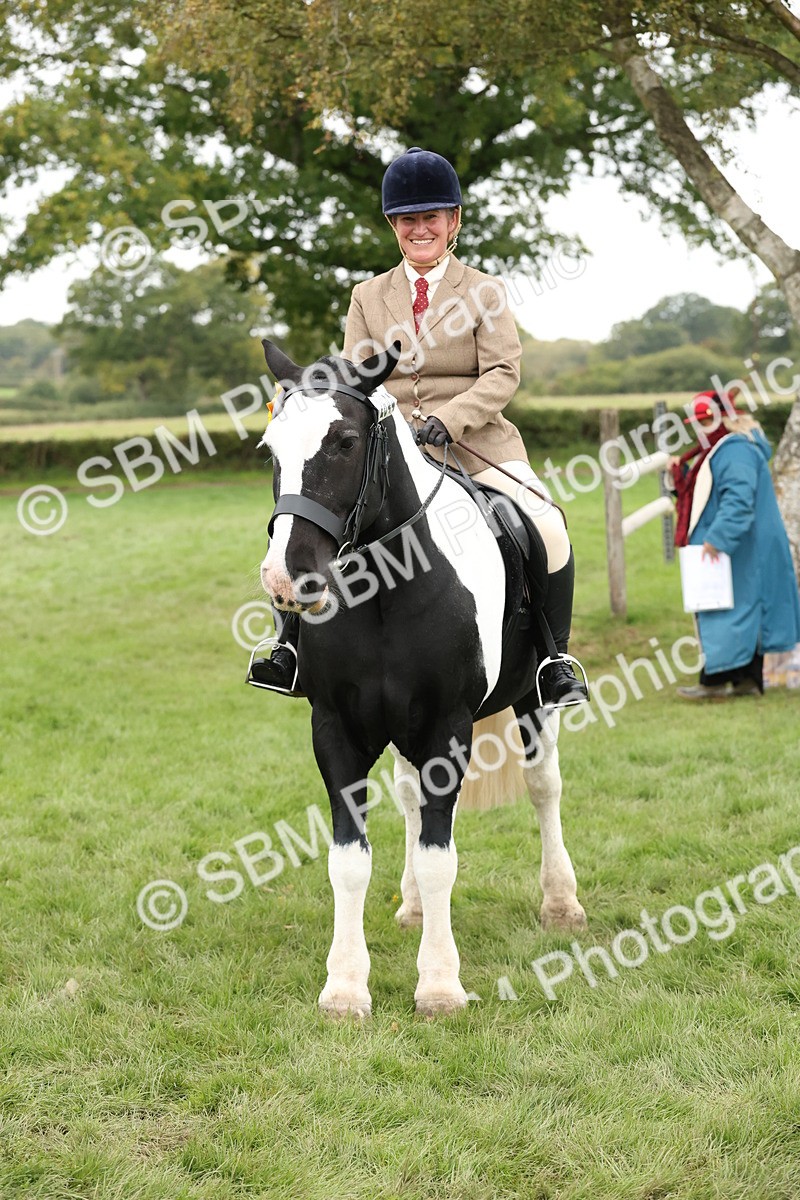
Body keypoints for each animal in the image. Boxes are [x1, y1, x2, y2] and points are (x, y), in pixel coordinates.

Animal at [255, 339, 586, 1017]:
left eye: (345, 442)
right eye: (271, 449)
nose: (286, 579)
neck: (387, 585)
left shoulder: (445, 728)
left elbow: (441, 858)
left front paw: (438, 985)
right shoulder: (337, 729)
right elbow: (349, 860)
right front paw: (345, 987)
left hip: (532, 701)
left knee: (544, 787)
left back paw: (561, 902)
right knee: (411, 799)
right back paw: (409, 907)